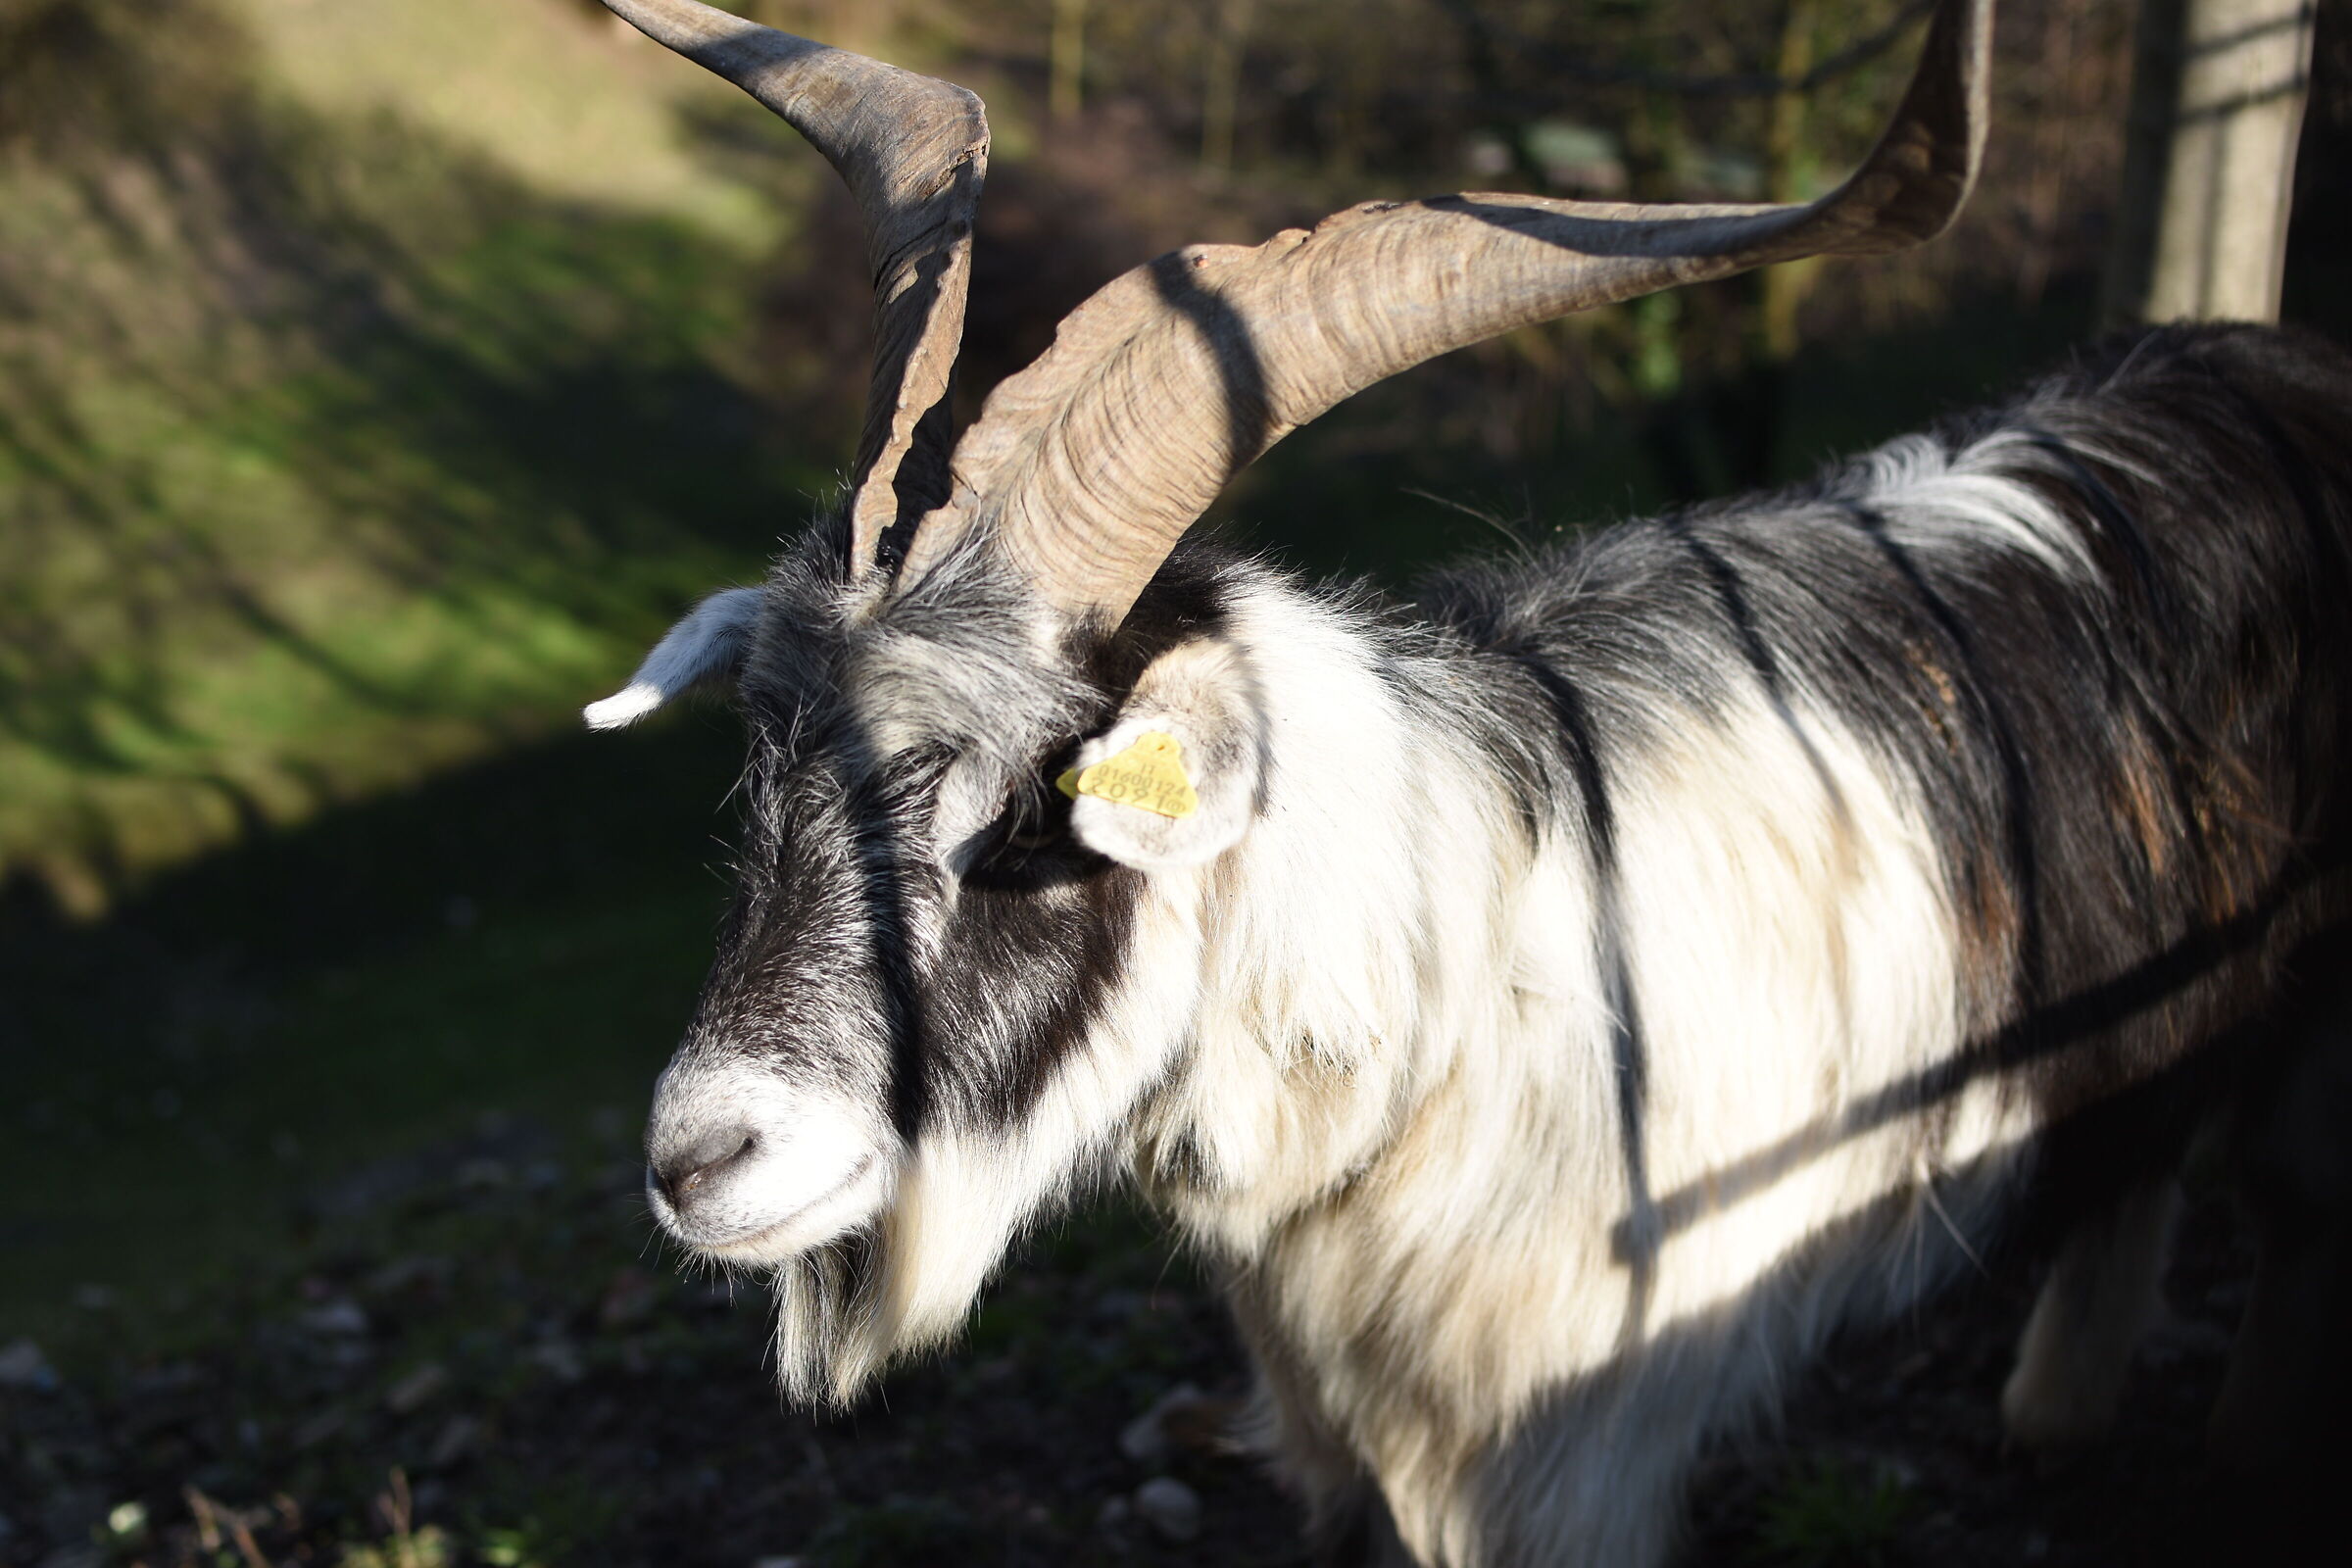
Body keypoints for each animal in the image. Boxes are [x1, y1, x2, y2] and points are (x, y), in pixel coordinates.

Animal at [579, 2, 2352, 1562]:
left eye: (1029, 813)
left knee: (2281, 1196)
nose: (699, 1161)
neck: (1468, 980)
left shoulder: (1577, 1459)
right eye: (761, 763)